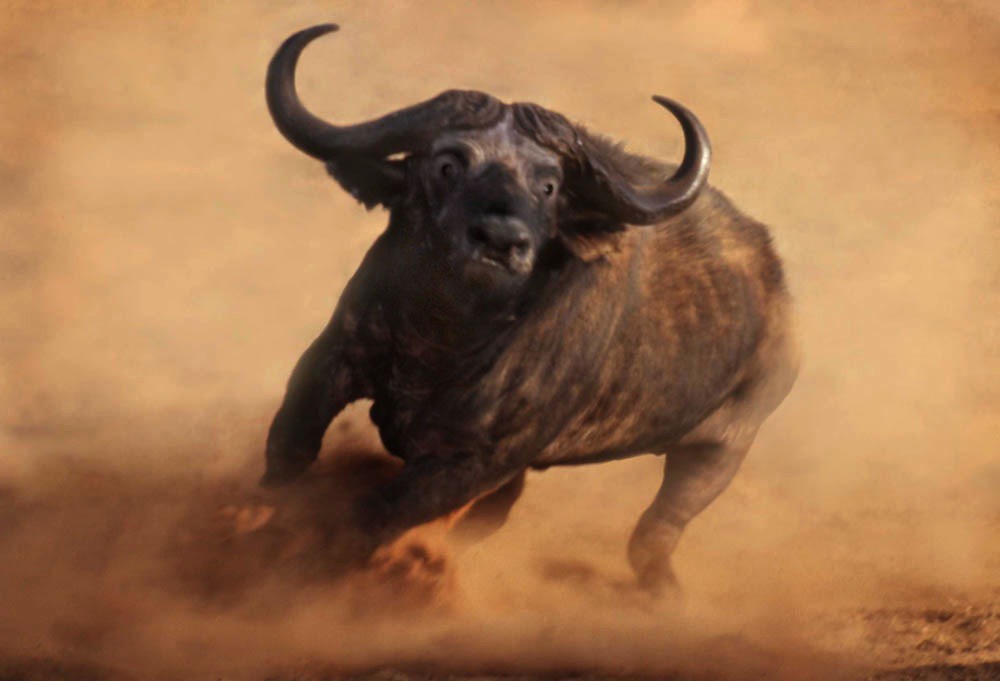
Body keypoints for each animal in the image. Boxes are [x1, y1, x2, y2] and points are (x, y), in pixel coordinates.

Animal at [261, 24, 798, 594]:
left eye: (548, 185)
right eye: (448, 164)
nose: (501, 239)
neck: (441, 335)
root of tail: (778, 293)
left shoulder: (478, 461)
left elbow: (373, 514)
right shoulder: (330, 362)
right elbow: (289, 451)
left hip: (722, 450)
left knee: (654, 533)